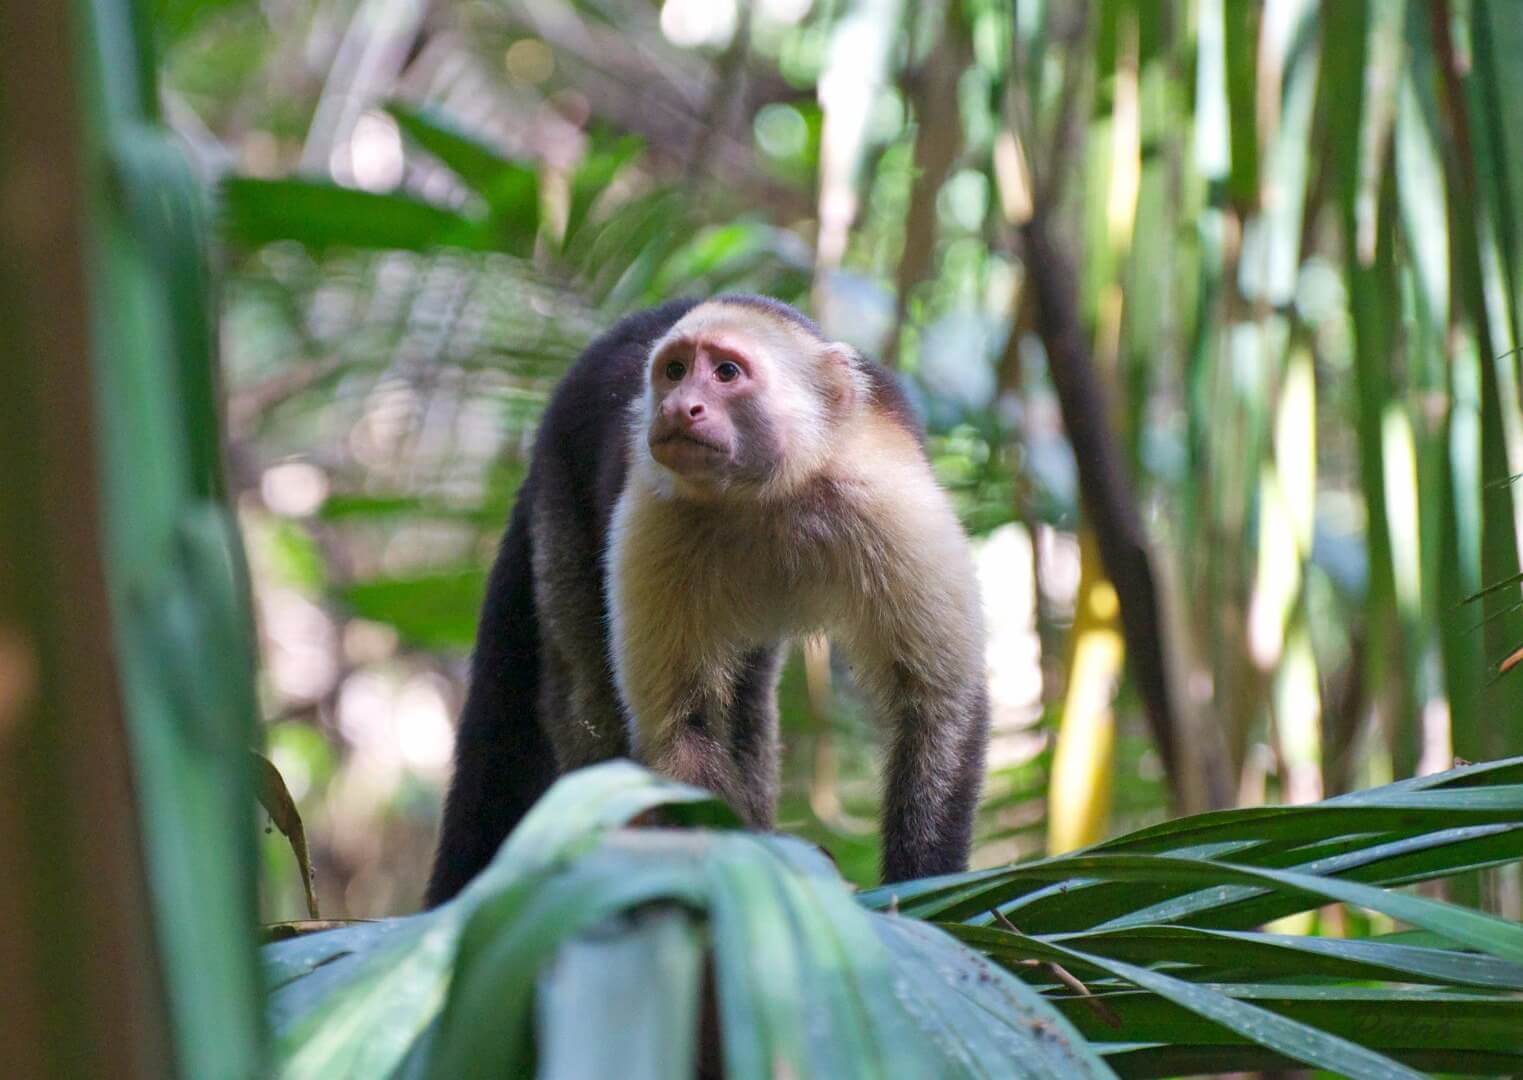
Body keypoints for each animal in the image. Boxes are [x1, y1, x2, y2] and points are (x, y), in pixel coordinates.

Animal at [424, 294, 989, 905]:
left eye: (726, 373)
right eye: (674, 372)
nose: (678, 407)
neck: (766, 495)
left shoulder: (886, 496)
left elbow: (938, 706)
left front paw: (924, 887)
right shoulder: (655, 516)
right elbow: (681, 731)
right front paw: (755, 865)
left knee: (748, 694)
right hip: (558, 485)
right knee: (585, 687)